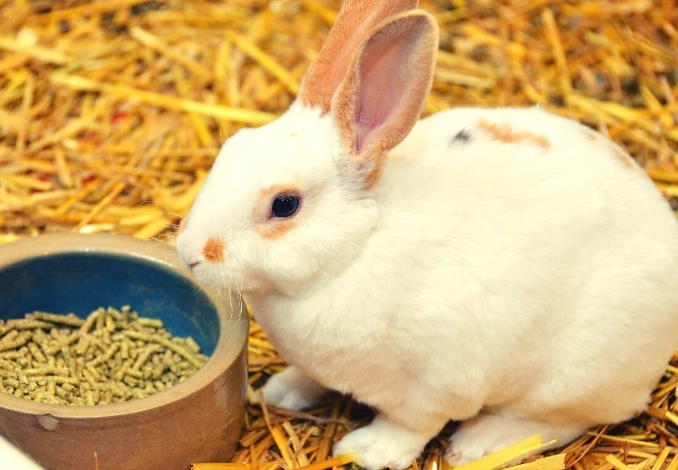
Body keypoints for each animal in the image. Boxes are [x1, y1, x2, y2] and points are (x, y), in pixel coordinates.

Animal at [176, 0, 678, 468]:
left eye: (284, 204)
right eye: (231, 147)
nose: (190, 253)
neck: (354, 249)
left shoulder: (432, 384)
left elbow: (410, 426)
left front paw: (368, 450)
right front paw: (279, 390)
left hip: (572, 377)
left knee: (559, 423)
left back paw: (479, 443)